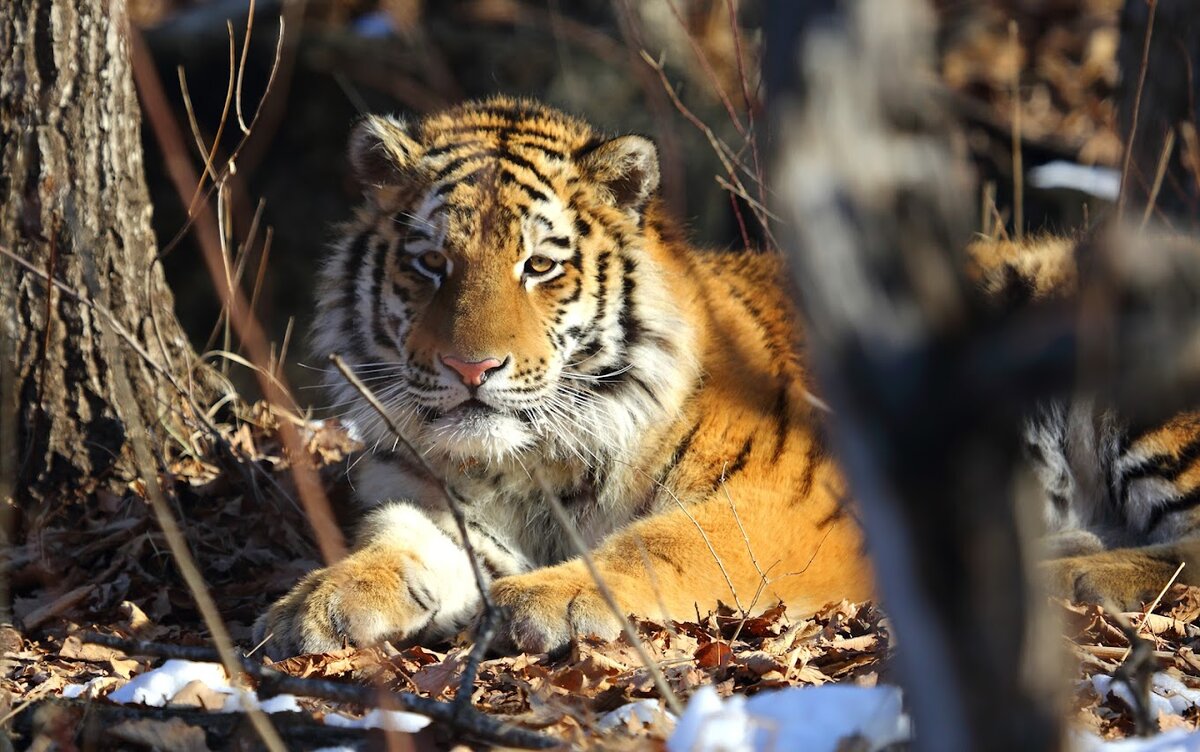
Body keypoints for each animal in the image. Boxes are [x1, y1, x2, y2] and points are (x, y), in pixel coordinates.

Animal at [255, 98, 873, 657]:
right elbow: (396, 539)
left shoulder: (799, 504)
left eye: (539, 266)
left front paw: (549, 599)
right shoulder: (445, 509)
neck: (532, 465)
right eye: (431, 263)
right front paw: (317, 602)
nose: (471, 367)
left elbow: (667, 542)